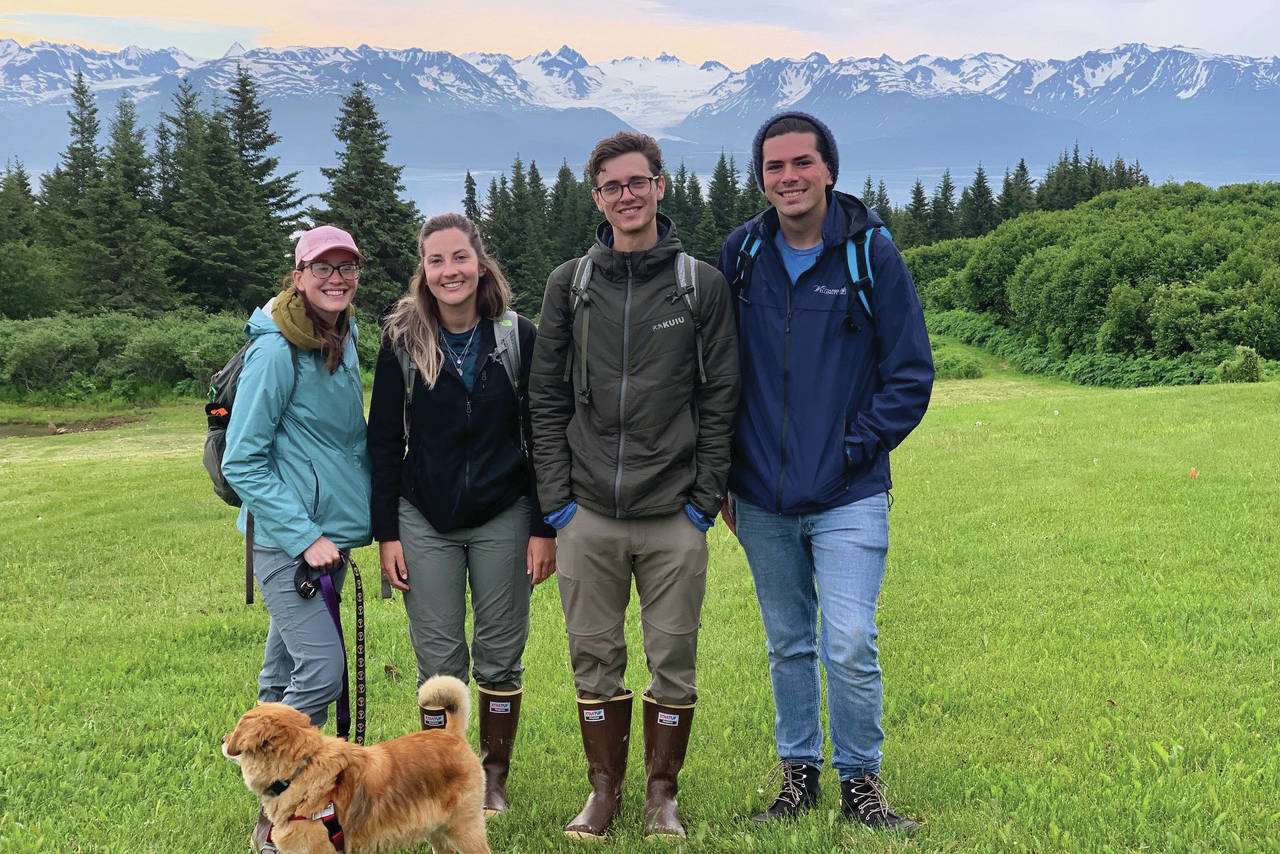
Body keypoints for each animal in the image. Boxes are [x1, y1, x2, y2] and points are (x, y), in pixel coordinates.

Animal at [222, 676, 486, 850]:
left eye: (237, 728)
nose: (222, 739)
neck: (301, 770)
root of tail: (451, 734)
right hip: (438, 831)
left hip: (465, 830)